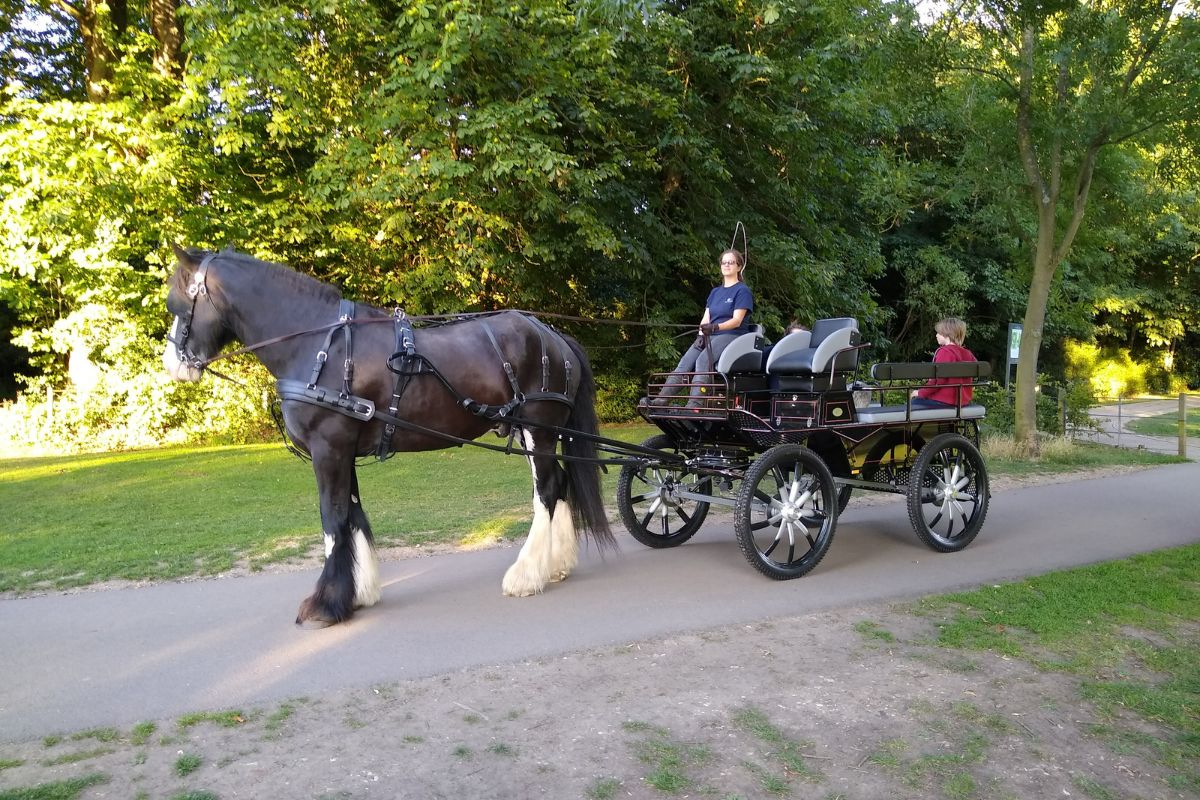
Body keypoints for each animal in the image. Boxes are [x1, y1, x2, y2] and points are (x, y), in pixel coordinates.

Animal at [165, 247, 614, 628]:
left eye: (176, 303)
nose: (173, 364)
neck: (317, 344)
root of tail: (553, 335)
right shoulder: (343, 450)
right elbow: (353, 514)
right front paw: (358, 593)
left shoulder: (328, 448)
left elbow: (333, 518)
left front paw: (326, 603)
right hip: (532, 431)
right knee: (559, 482)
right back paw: (556, 565)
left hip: (539, 428)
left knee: (546, 490)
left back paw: (526, 574)